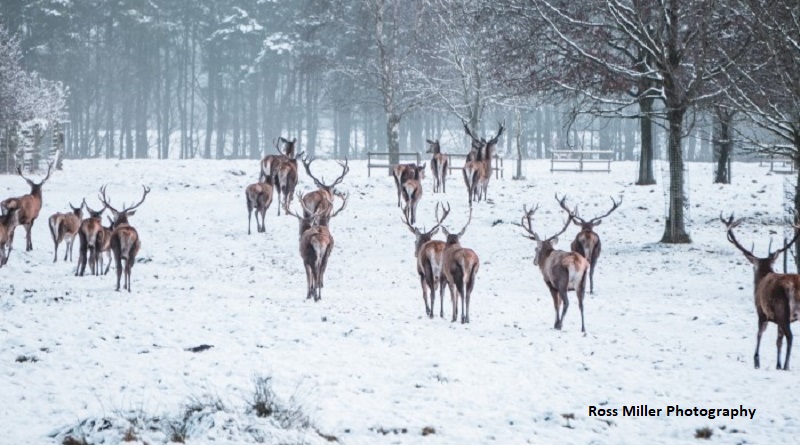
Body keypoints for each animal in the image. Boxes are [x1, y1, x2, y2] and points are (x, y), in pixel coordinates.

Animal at [516, 196, 592, 332]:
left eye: (536, 249)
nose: (534, 261)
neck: (546, 258)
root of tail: (577, 263)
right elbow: (559, 303)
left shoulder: (551, 284)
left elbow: (556, 304)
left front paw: (556, 324)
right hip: (582, 282)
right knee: (581, 303)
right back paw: (583, 328)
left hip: (562, 282)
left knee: (567, 302)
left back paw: (560, 325)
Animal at [720, 213, 800, 370]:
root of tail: (793, 285)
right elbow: (778, 341)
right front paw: (777, 365)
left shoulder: (761, 311)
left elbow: (759, 334)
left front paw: (756, 360)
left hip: (782, 309)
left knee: (790, 336)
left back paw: (787, 366)